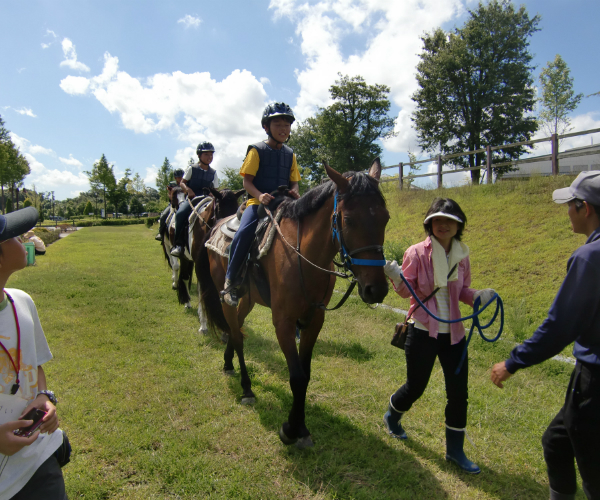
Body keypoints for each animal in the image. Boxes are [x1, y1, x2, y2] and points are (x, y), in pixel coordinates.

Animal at [199, 161, 392, 450]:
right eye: (348, 219)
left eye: (385, 218)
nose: (376, 289)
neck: (301, 254)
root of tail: (216, 227)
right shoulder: (284, 322)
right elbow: (297, 376)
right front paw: (291, 429)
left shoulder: (314, 320)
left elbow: (306, 373)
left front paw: (300, 426)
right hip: (228, 299)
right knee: (238, 336)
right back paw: (246, 388)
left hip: (247, 300)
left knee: (236, 331)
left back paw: (228, 363)